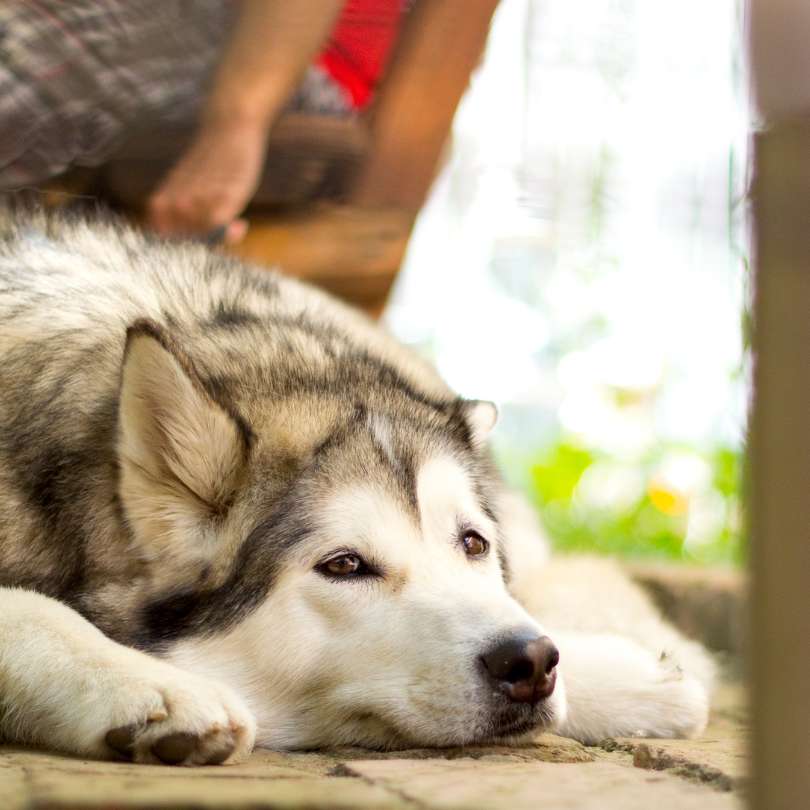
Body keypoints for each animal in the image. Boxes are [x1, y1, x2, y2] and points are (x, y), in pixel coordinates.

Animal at [0, 208, 708, 764]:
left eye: (473, 544)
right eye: (344, 565)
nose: (530, 661)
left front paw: (622, 676)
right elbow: (29, 610)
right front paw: (152, 685)